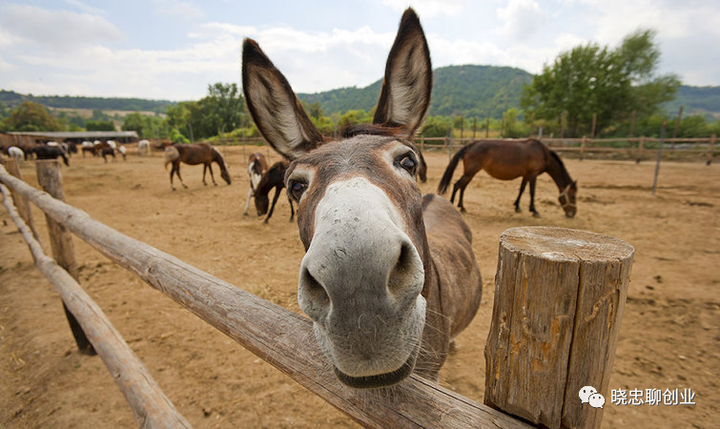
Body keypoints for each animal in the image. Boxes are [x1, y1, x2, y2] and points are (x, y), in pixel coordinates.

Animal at [436, 139, 576, 216]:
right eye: (573, 196)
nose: (572, 213)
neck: (543, 153)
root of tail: (470, 145)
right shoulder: (533, 175)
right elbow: (532, 192)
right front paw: (534, 211)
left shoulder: (526, 175)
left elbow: (522, 189)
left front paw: (517, 206)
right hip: (471, 172)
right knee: (457, 185)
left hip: (470, 173)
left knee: (463, 186)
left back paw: (462, 207)